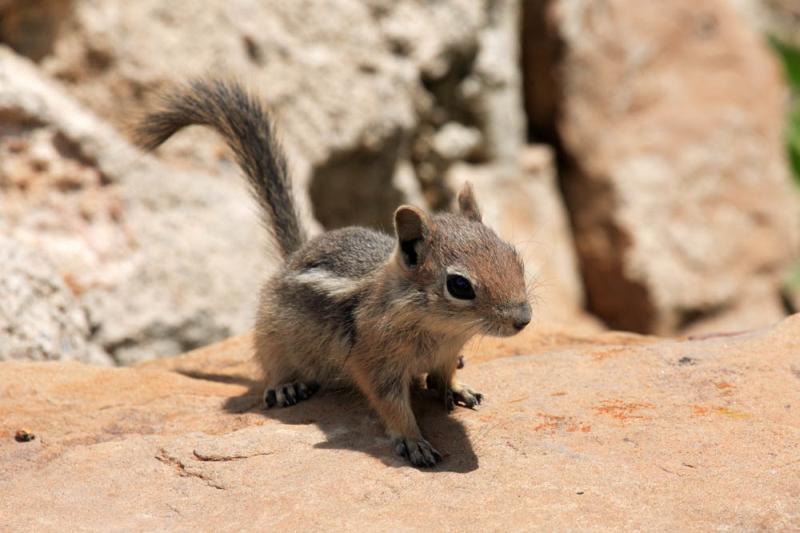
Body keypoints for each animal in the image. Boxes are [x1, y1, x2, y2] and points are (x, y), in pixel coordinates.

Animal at [138, 79, 532, 466]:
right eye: (459, 285)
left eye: (515, 258)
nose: (523, 319)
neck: (442, 330)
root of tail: (294, 255)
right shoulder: (374, 362)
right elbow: (391, 404)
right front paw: (413, 441)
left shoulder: (446, 353)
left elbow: (445, 374)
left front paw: (457, 388)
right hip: (271, 331)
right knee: (270, 361)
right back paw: (285, 385)